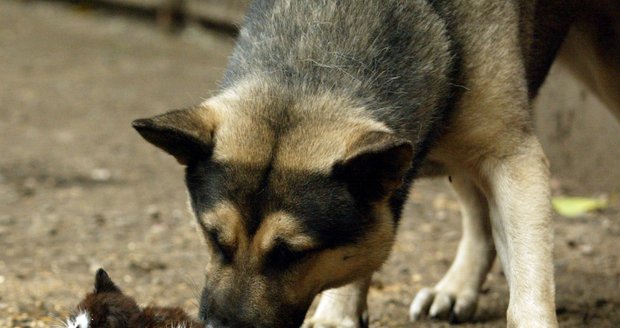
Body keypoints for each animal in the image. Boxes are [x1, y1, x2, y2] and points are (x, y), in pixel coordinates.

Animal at [132, 0, 620, 328]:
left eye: (291, 254)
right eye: (213, 238)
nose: (216, 327)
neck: (315, 66)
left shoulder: (513, 158)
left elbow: (529, 282)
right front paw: (339, 314)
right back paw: (456, 287)